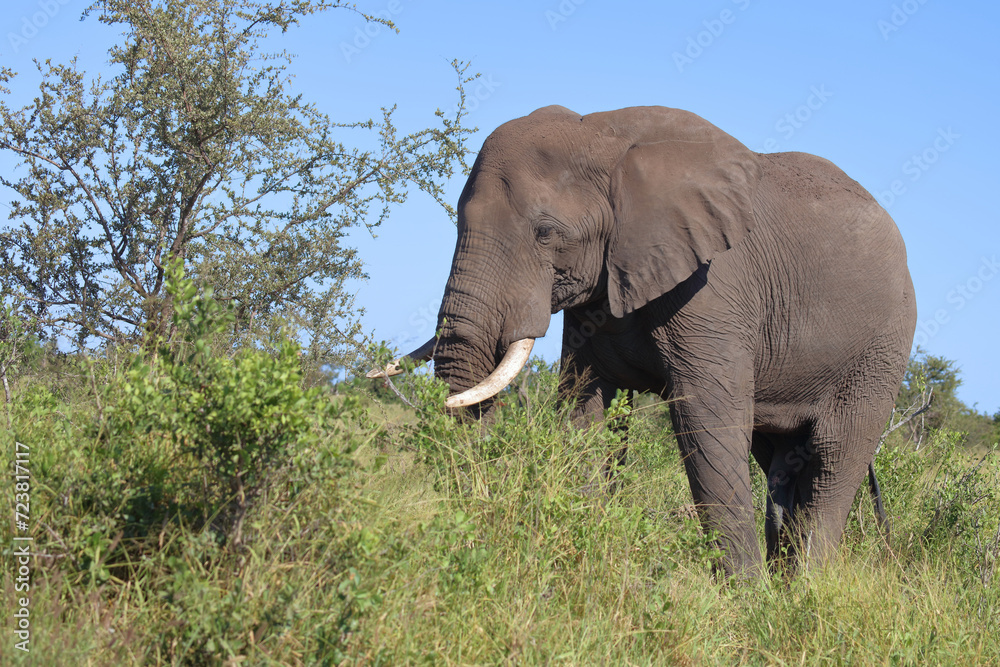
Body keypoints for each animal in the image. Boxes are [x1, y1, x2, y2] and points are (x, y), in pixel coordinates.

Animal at [372, 105, 916, 577]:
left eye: (545, 232)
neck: (603, 134)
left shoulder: (714, 288)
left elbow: (707, 425)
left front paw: (742, 603)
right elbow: (583, 411)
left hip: (882, 349)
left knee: (833, 455)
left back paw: (803, 589)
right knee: (781, 460)